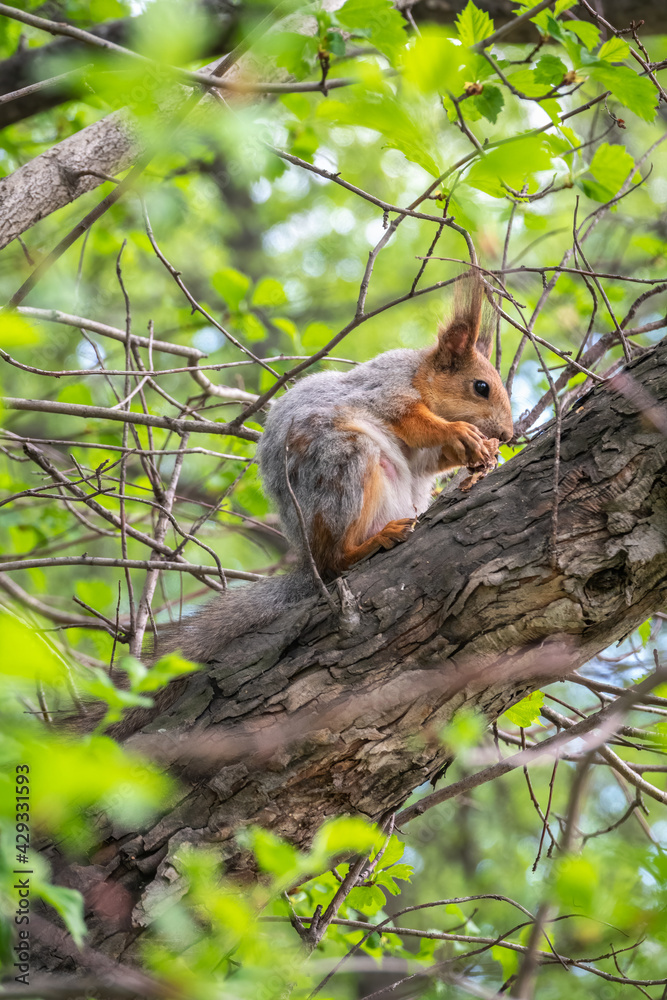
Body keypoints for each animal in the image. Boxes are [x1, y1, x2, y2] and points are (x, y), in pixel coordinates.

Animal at [153, 274, 514, 667]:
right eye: (481, 387)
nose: (509, 435)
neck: (419, 375)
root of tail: (308, 554)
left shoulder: (420, 453)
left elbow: (428, 458)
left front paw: (486, 452)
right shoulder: (386, 391)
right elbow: (415, 422)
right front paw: (460, 432)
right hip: (344, 468)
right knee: (335, 561)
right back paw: (376, 540)